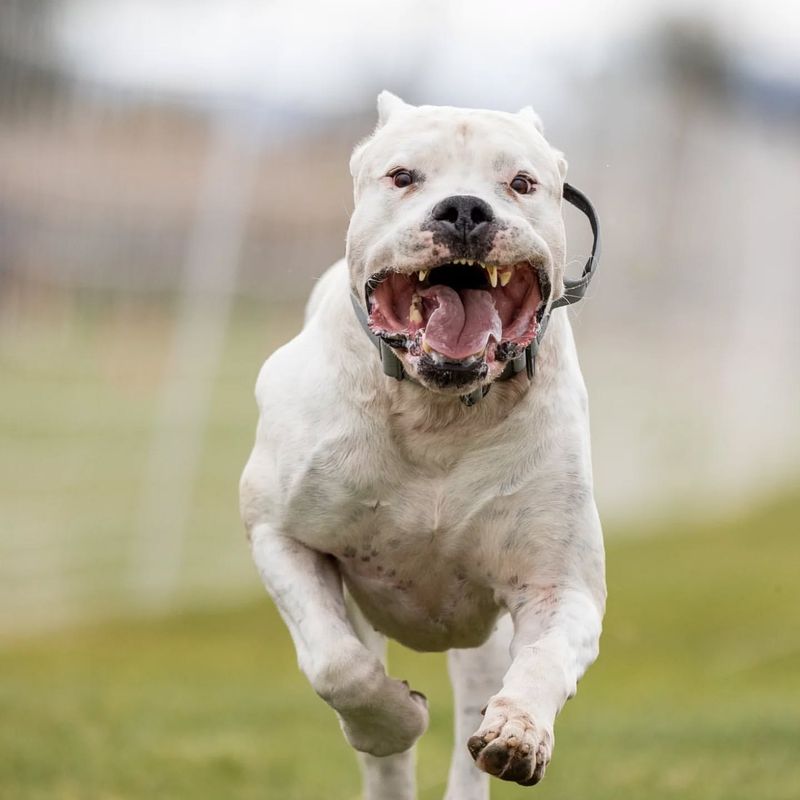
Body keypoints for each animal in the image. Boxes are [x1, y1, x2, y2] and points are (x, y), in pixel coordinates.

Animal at [241, 90, 604, 796]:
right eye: (403, 176)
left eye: (522, 183)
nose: (465, 209)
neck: (436, 412)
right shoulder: (281, 535)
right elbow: (337, 666)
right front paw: (395, 720)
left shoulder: (561, 584)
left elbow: (544, 662)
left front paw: (520, 731)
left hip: (481, 637)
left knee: (475, 705)